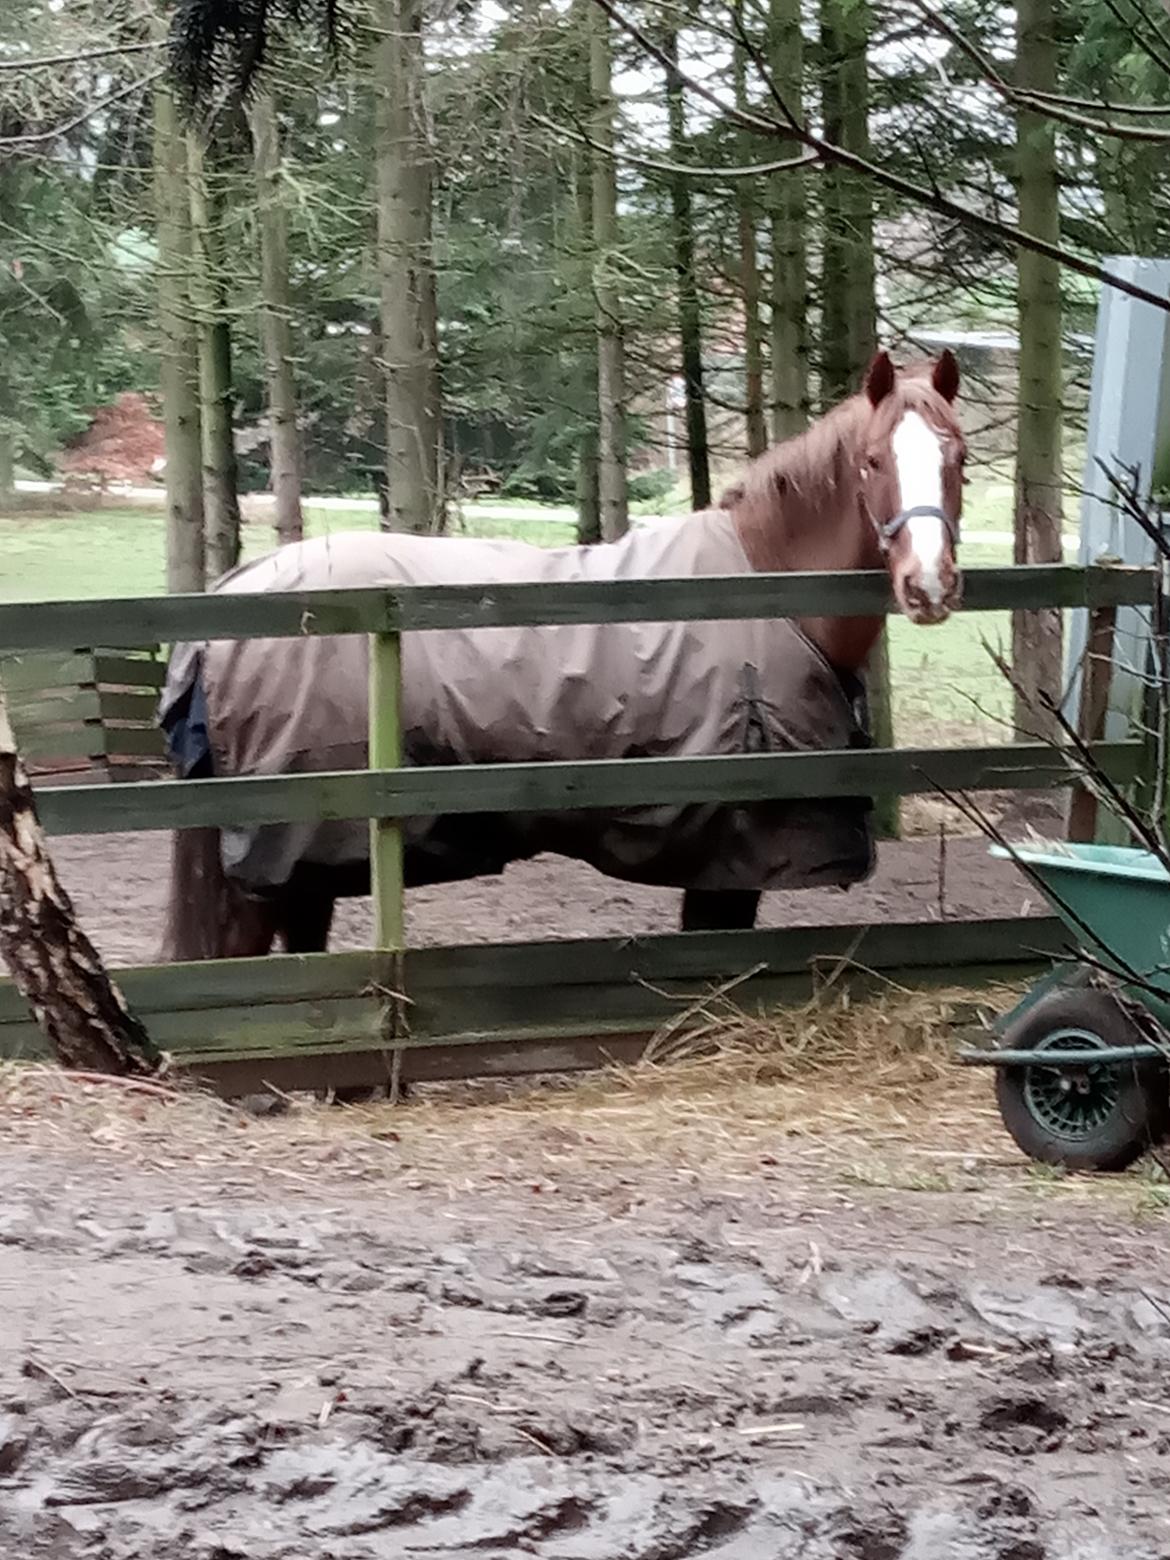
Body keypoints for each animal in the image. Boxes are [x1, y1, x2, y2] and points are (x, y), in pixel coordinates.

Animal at [160, 351, 967, 960]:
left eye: (958, 456)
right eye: (872, 461)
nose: (928, 585)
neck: (767, 591)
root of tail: (231, 595)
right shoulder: (730, 855)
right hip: (288, 852)